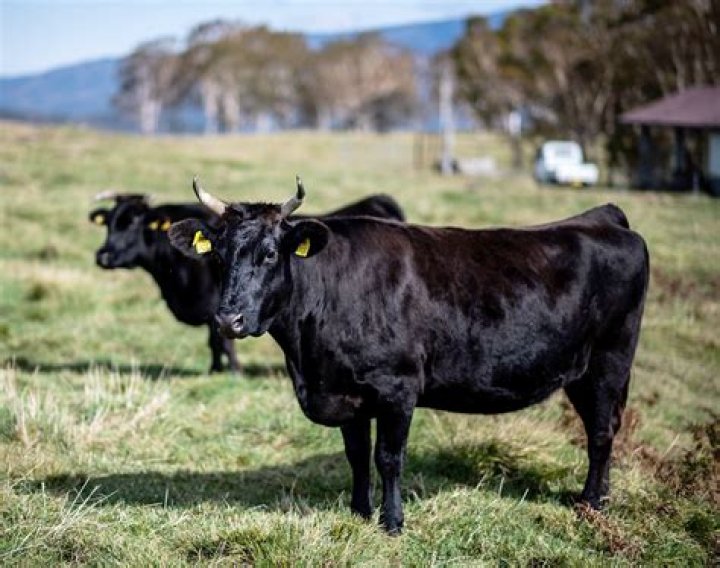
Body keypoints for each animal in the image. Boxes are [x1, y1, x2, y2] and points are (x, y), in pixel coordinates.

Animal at [89, 188, 405, 373]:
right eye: (109, 223)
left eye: (133, 222)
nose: (102, 255)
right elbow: (215, 341)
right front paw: (215, 370)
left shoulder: (214, 306)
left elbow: (221, 341)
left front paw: (232, 371)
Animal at [168, 177, 649, 534]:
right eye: (220, 256)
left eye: (270, 255)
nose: (227, 319)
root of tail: (602, 217)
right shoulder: (346, 391)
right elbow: (357, 455)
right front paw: (359, 512)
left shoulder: (397, 388)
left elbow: (389, 458)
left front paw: (392, 522)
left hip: (608, 363)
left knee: (601, 433)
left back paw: (591, 503)